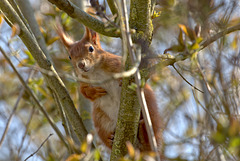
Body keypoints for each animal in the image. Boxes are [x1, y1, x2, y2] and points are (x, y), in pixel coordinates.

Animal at [56, 25, 163, 153]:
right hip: (100, 119)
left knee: (150, 136)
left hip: (149, 108)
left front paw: (122, 79)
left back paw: (144, 133)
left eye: (91, 49)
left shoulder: (118, 63)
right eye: (69, 56)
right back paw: (110, 140)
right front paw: (95, 92)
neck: (95, 71)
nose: (81, 65)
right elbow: (84, 92)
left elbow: (144, 72)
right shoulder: (83, 81)